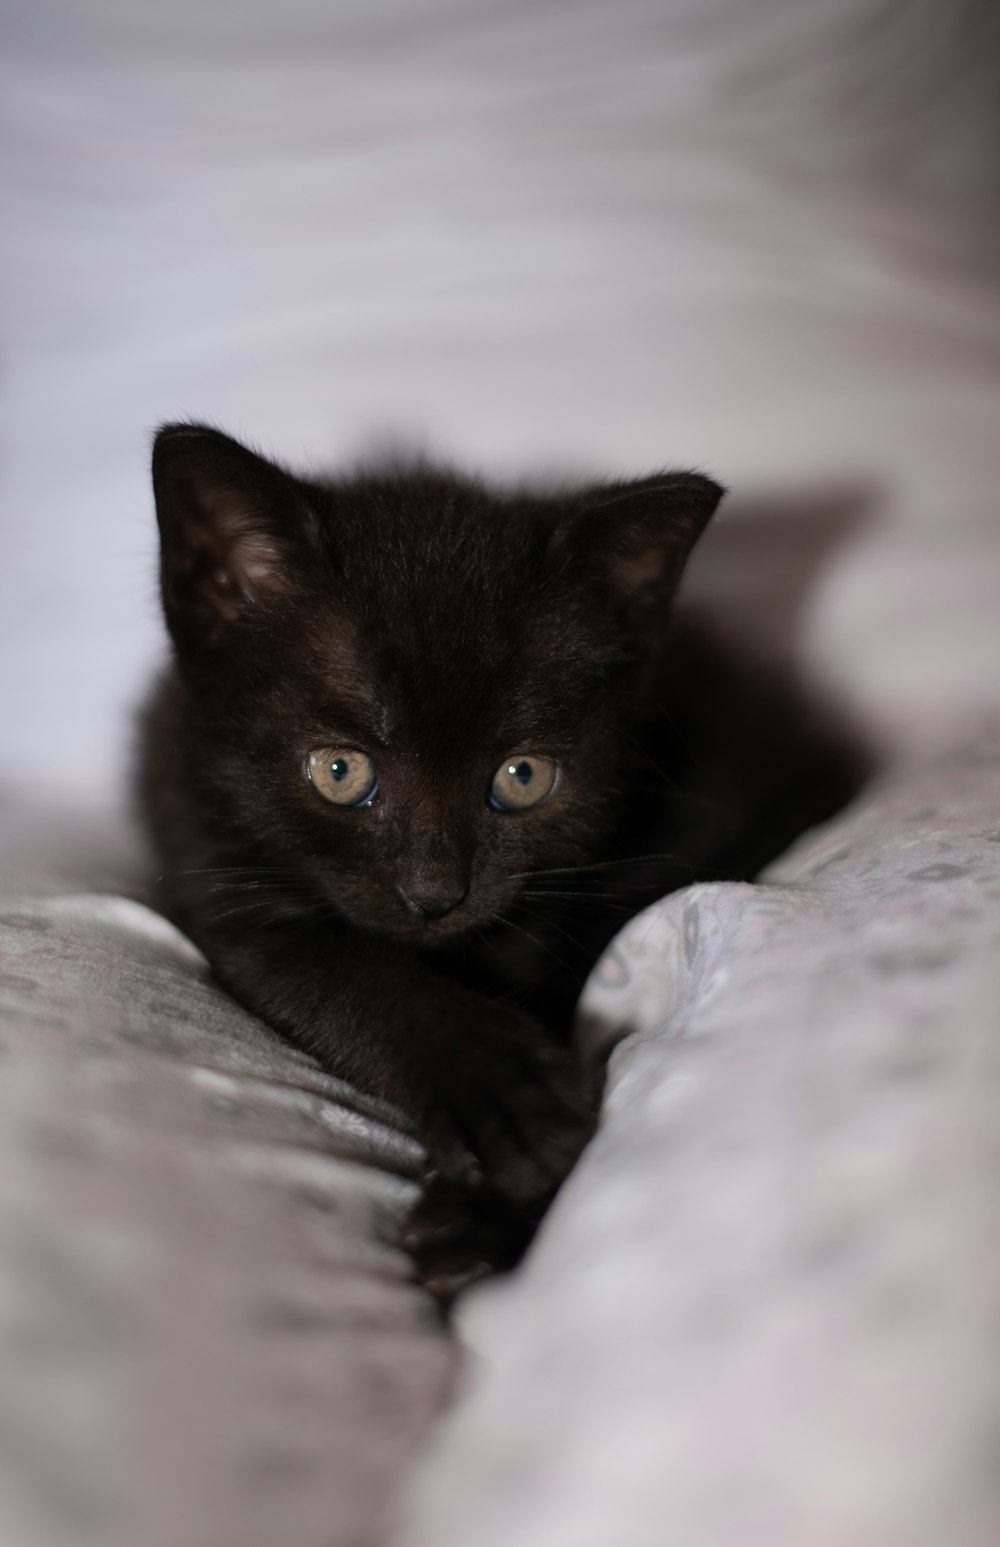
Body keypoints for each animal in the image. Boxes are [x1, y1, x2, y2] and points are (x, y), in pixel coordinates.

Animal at [136, 430, 860, 1299]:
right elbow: (322, 965)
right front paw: (500, 1090)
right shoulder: (206, 856)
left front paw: (494, 1208)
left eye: (522, 777)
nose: (433, 892)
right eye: (339, 771)